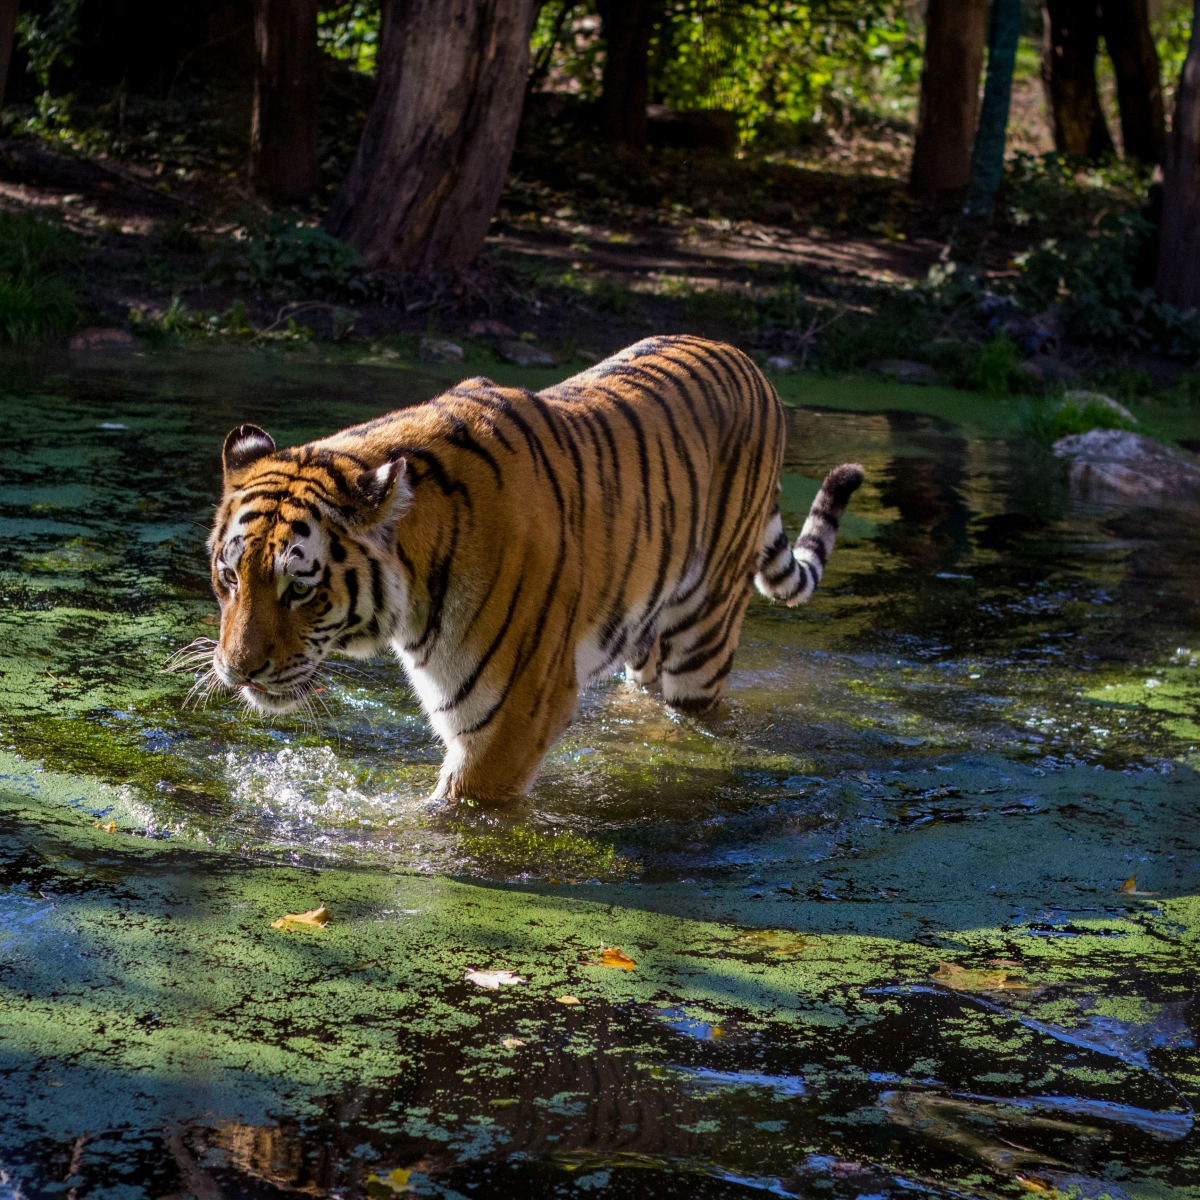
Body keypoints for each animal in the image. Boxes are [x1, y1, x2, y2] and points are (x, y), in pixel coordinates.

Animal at [194, 335, 863, 801]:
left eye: (299, 589)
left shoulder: (511, 716)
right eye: (230, 578)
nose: (237, 670)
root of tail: (750, 364)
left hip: (704, 637)